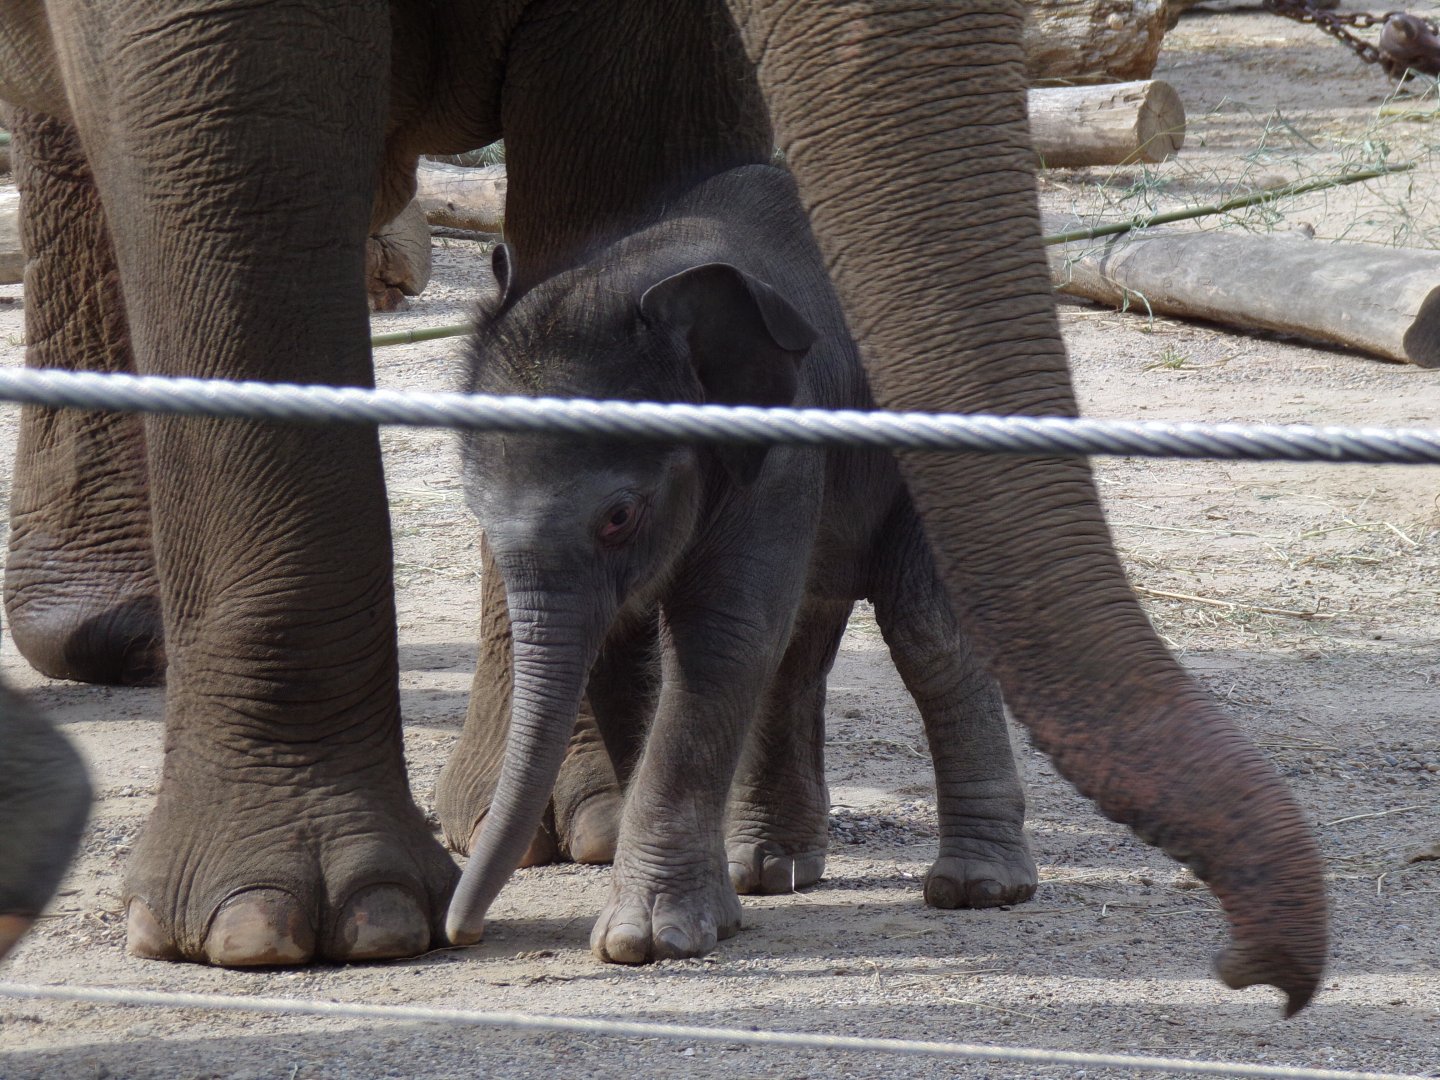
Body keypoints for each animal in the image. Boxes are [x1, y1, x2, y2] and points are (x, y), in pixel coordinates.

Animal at [447, 163, 1040, 960]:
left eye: (618, 515)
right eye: (477, 510)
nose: (463, 933)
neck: (640, 274)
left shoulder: (780, 448)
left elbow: (720, 635)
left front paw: (647, 939)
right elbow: (639, 644)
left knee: (924, 627)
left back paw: (980, 889)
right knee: (798, 645)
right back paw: (765, 869)